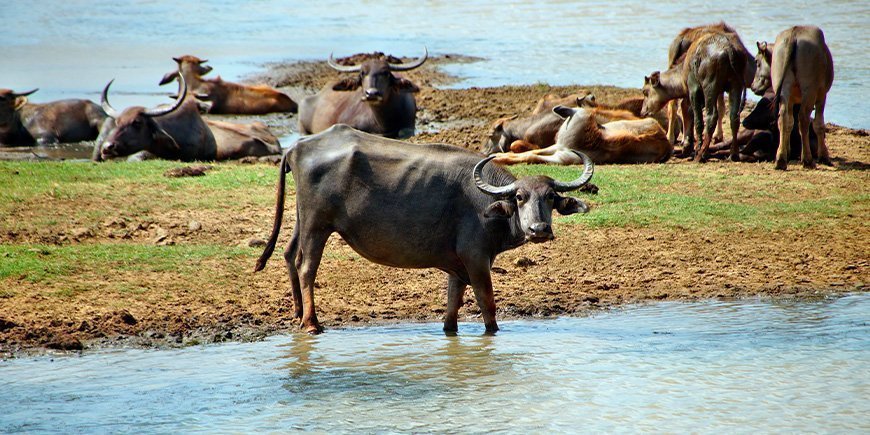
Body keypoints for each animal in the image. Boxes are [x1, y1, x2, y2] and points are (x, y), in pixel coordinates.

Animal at [254, 124, 594, 334]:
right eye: (520, 197)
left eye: (550, 197)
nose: (539, 229)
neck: (488, 202)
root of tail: (298, 147)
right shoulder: (476, 258)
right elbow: (487, 305)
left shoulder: (458, 264)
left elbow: (453, 305)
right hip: (318, 224)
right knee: (307, 266)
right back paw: (311, 322)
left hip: (302, 219)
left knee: (289, 254)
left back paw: (298, 314)